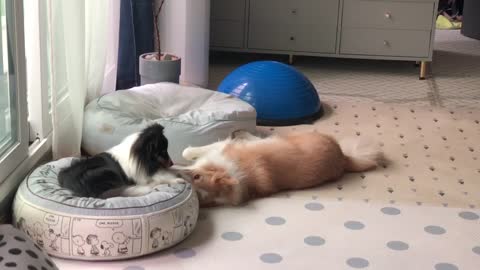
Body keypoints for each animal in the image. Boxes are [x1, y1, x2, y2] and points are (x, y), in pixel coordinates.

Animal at [176, 130, 382, 207]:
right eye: (198, 197)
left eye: (197, 177)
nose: (177, 174)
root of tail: (343, 158)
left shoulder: (222, 149)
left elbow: (191, 151)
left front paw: (186, 153)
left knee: (257, 137)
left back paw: (243, 132)